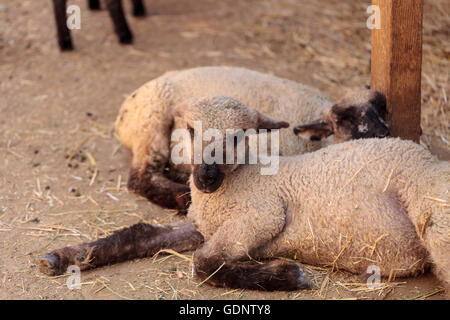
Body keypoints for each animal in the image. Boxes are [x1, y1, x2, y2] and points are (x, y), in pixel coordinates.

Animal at [37, 95, 448, 292]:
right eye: (189, 130)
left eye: (238, 137)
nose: (205, 176)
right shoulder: (202, 226)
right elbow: (137, 235)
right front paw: (60, 257)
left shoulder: (262, 215)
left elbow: (203, 263)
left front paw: (287, 277)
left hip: (434, 217)